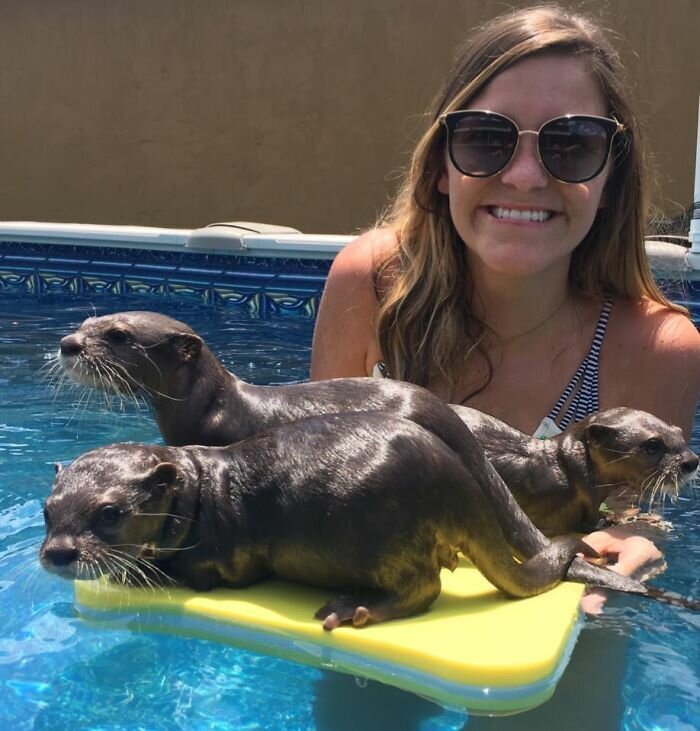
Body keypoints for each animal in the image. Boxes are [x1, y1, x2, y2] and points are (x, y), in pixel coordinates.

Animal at [39, 412, 684, 628]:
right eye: (48, 512)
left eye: (110, 513)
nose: (57, 552)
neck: (202, 492)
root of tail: (454, 478)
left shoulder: (226, 556)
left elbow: (196, 574)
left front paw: (135, 571)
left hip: (375, 532)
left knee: (424, 588)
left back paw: (357, 609)